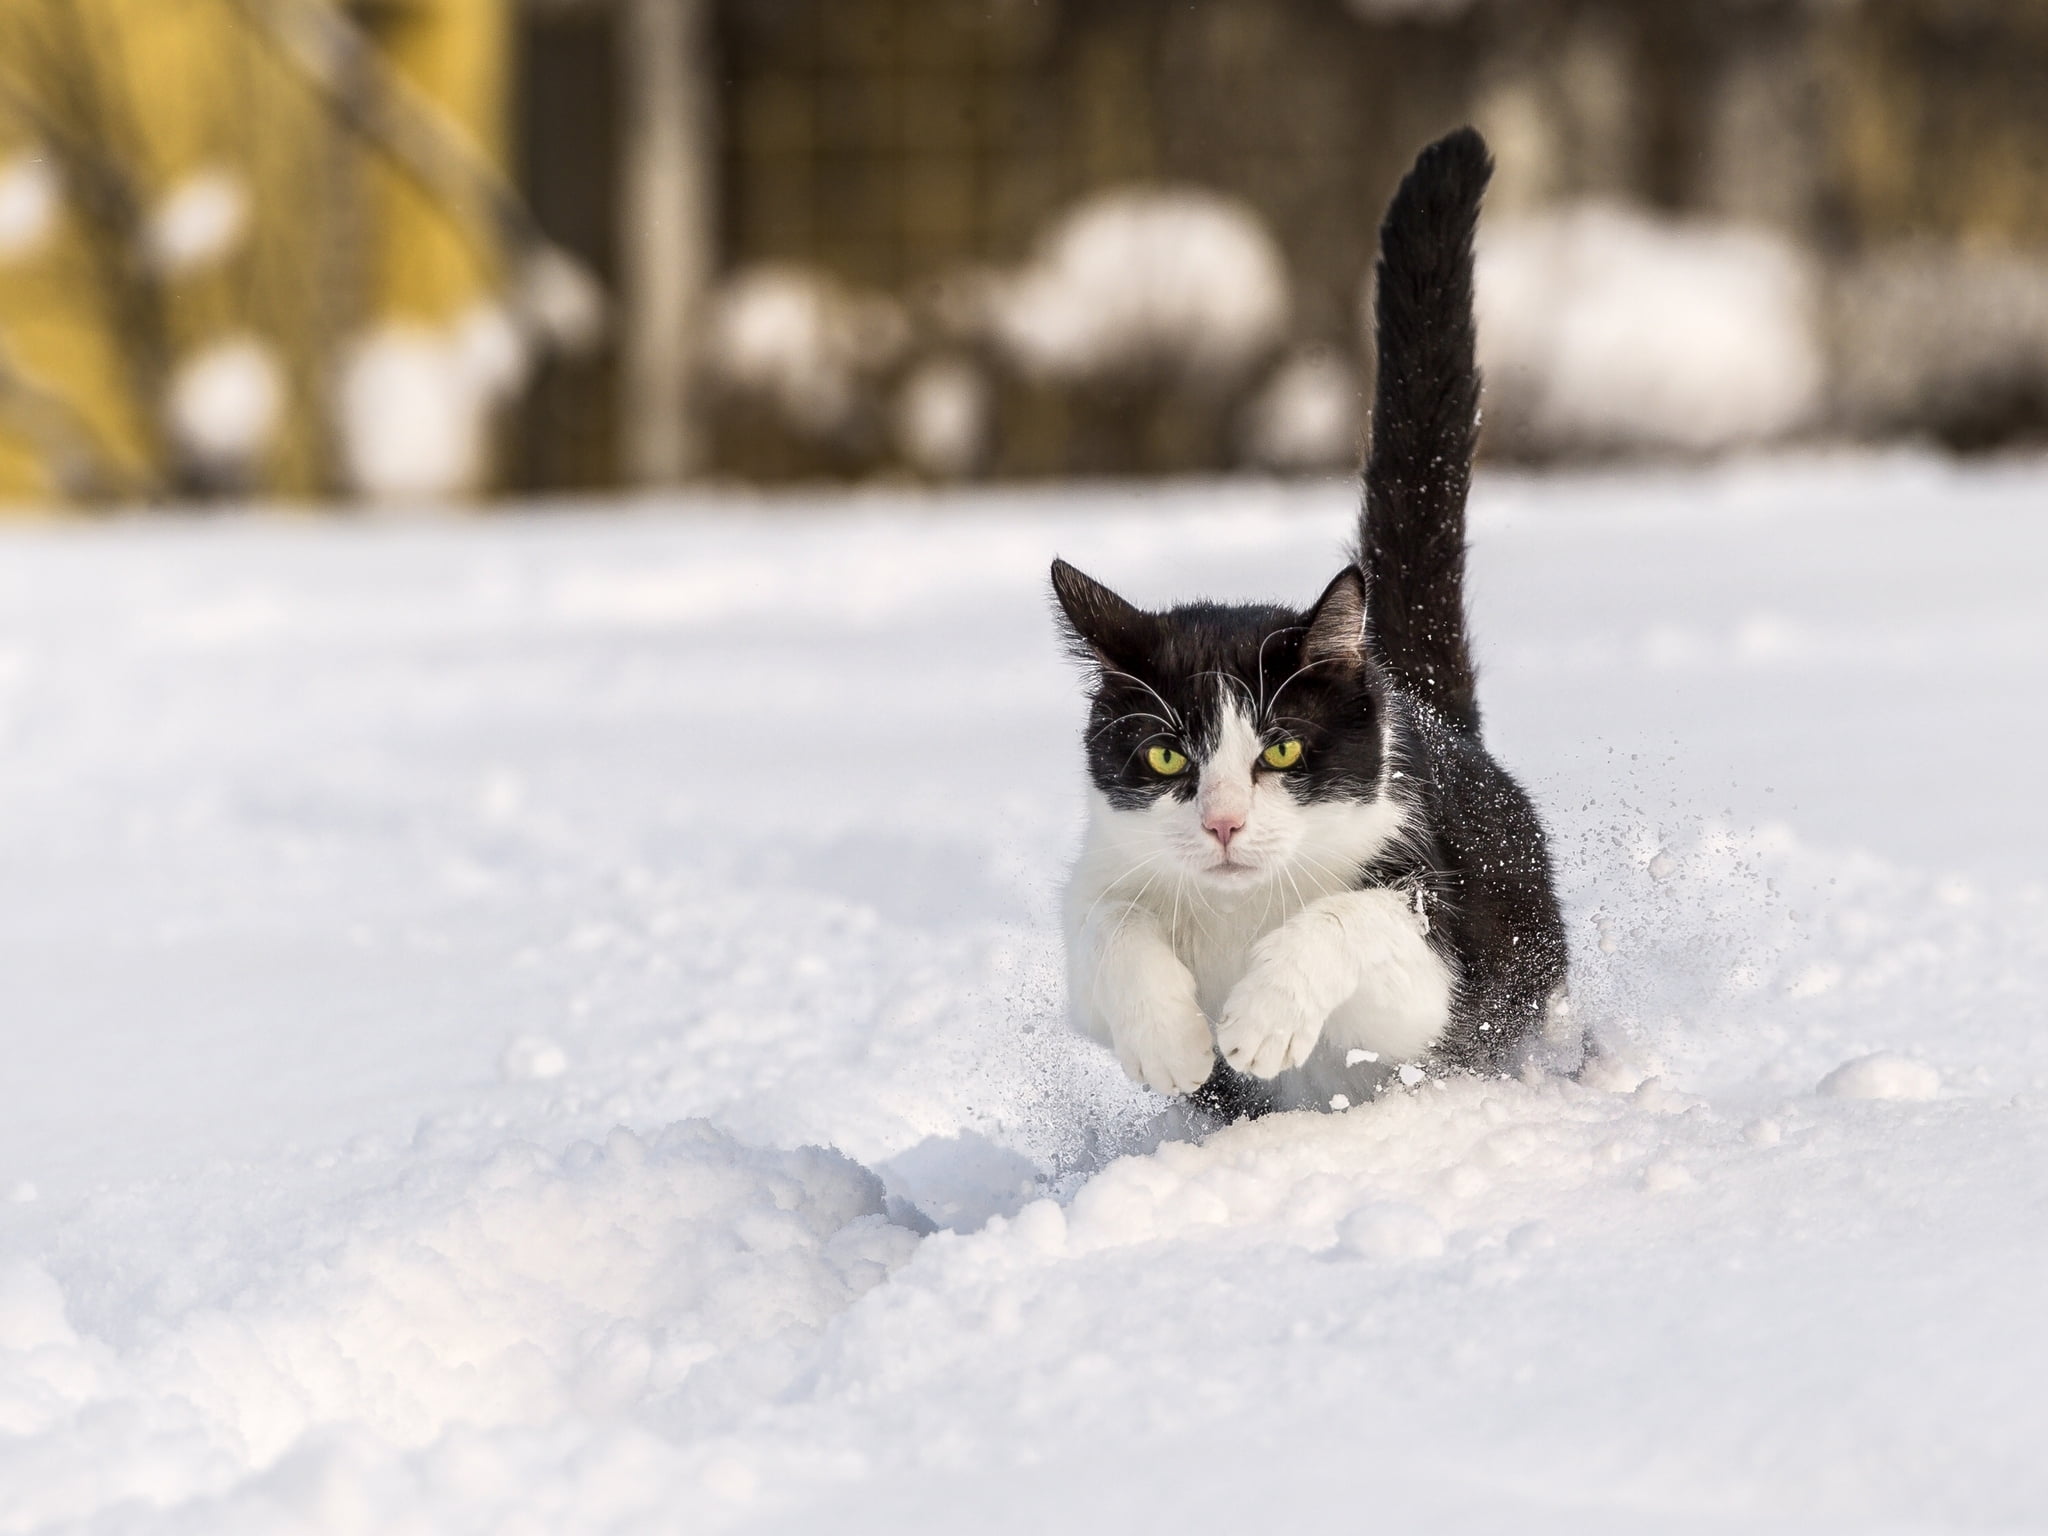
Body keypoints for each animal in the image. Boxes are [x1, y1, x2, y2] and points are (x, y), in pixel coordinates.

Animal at [1056, 129, 1564, 1122]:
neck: (1236, 910)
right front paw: (1173, 1041)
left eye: (1283, 749)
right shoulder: (1099, 875)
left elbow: (1351, 920)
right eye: (1165, 756)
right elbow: (1106, 925)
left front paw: (1261, 1021)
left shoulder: (1432, 951)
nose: (1222, 824)